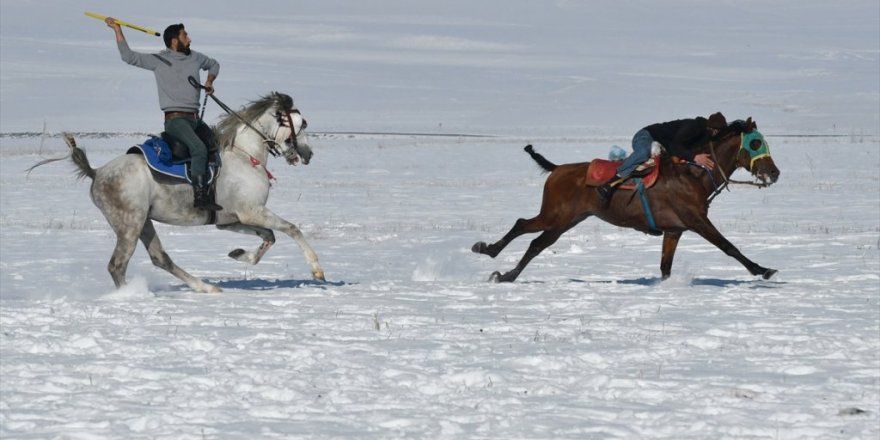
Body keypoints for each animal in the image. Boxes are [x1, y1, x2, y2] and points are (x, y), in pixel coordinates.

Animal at [43, 92, 324, 292]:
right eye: (302, 123)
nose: (308, 154)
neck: (245, 155)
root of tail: (97, 172)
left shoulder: (232, 220)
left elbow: (269, 237)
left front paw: (238, 254)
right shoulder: (253, 211)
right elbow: (291, 229)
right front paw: (316, 270)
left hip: (143, 222)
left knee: (159, 258)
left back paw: (205, 287)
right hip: (129, 225)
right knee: (118, 265)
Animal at [470, 117, 780, 282]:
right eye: (755, 143)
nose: (774, 173)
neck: (693, 173)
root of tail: (557, 169)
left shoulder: (674, 230)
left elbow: (666, 266)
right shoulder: (696, 220)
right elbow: (729, 246)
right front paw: (763, 269)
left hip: (566, 220)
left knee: (532, 237)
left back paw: (499, 265)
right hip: (556, 215)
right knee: (526, 230)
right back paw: (494, 259)